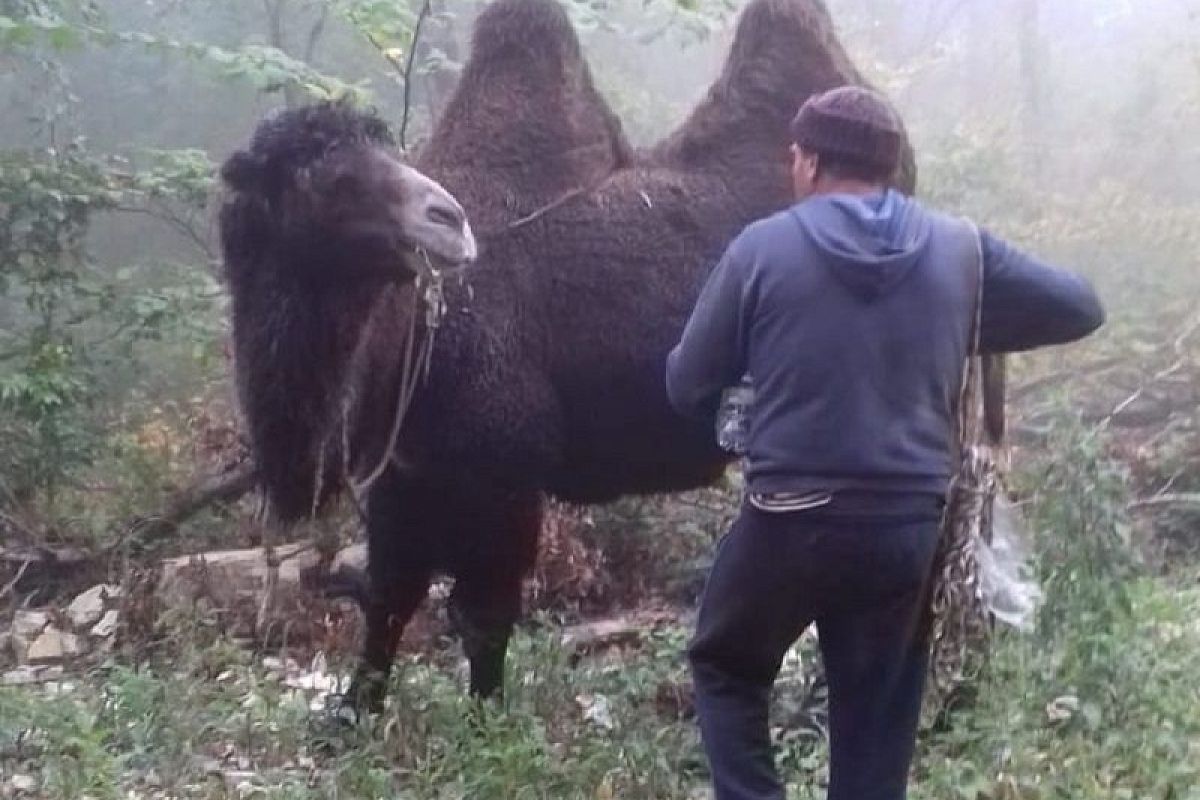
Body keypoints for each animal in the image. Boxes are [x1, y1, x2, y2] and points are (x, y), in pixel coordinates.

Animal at [220, 0, 916, 714]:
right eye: (331, 178)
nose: (448, 219)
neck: (410, 336)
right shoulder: (406, 474)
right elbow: (389, 597)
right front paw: (353, 714)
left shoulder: (504, 471)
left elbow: (482, 616)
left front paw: (486, 720)